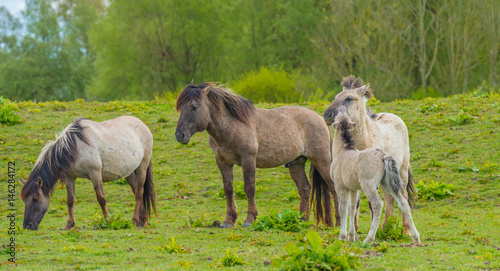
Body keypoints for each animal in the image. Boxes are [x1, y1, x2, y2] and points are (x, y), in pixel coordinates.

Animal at [20, 116, 155, 231]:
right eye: (24, 200)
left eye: (35, 199)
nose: (27, 226)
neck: (73, 147)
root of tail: (143, 125)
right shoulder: (70, 177)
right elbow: (70, 200)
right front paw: (69, 224)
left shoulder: (95, 173)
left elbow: (101, 198)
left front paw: (108, 220)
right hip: (129, 173)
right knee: (137, 191)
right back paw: (142, 221)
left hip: (142, 167)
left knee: (139, 193)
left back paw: (135, 220)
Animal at [174, 82, 338, 227]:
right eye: (180, 107)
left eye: (194, 107)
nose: (180, 135)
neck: (232, 126)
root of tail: (320, 119)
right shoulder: (222, 162)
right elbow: (228, 189)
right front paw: (228, 220)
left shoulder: (248, 160)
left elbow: (249, 188)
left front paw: (249, 219)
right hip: (296, 163)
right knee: (304, 188)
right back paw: (302, 220)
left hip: (322, 160)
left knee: (333, 186)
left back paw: (339, 222)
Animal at [322, 75, 416, 236]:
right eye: (336, 97)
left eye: (349, 98)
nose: (327, 115)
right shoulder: (352, 178)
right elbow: (356, 204)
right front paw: (354, 229)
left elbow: (372, 205)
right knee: (390, 198)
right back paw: (386, 227)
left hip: (401, 171)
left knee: (402, 195)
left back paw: (405, 229)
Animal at [332, 109, 422, 245]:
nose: (340, 110)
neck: (342, 152)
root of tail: (383, 156)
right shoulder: (353, 189)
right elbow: (352, 208)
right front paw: (351, 236)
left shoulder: (340, 187)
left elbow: (342, 209)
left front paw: (342, 236)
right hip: (389, 184)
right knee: (403, 203)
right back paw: (416, 237)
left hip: (369, 186)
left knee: (378, 204)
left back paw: (369, 238)